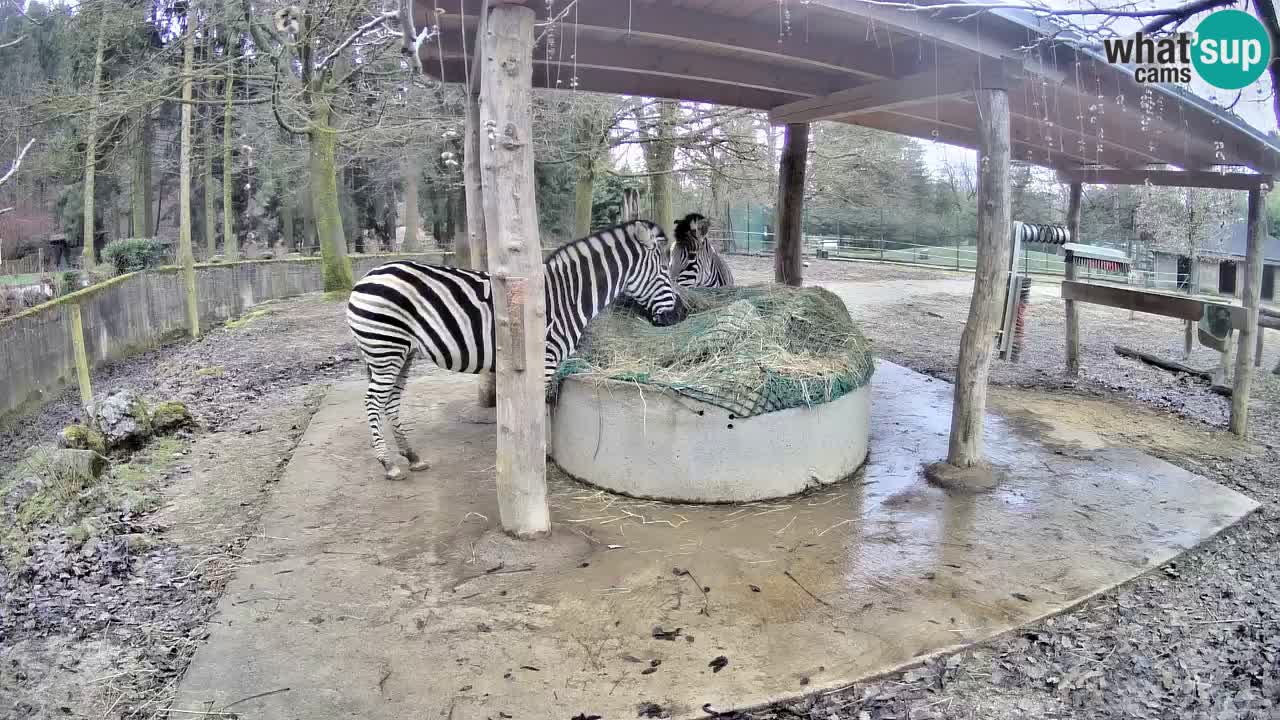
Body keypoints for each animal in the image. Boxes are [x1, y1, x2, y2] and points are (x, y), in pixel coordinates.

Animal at [340, 215, 680, 479]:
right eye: (665, 271)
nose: (679, 315)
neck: (567, 296)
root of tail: (366, 277)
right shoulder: (545, 358)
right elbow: (538, 410)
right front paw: (537, 459)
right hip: (385, 348)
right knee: (373, 401)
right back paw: (388, 464)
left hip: (402, 352)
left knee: (391, 400)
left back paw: (411, 456)